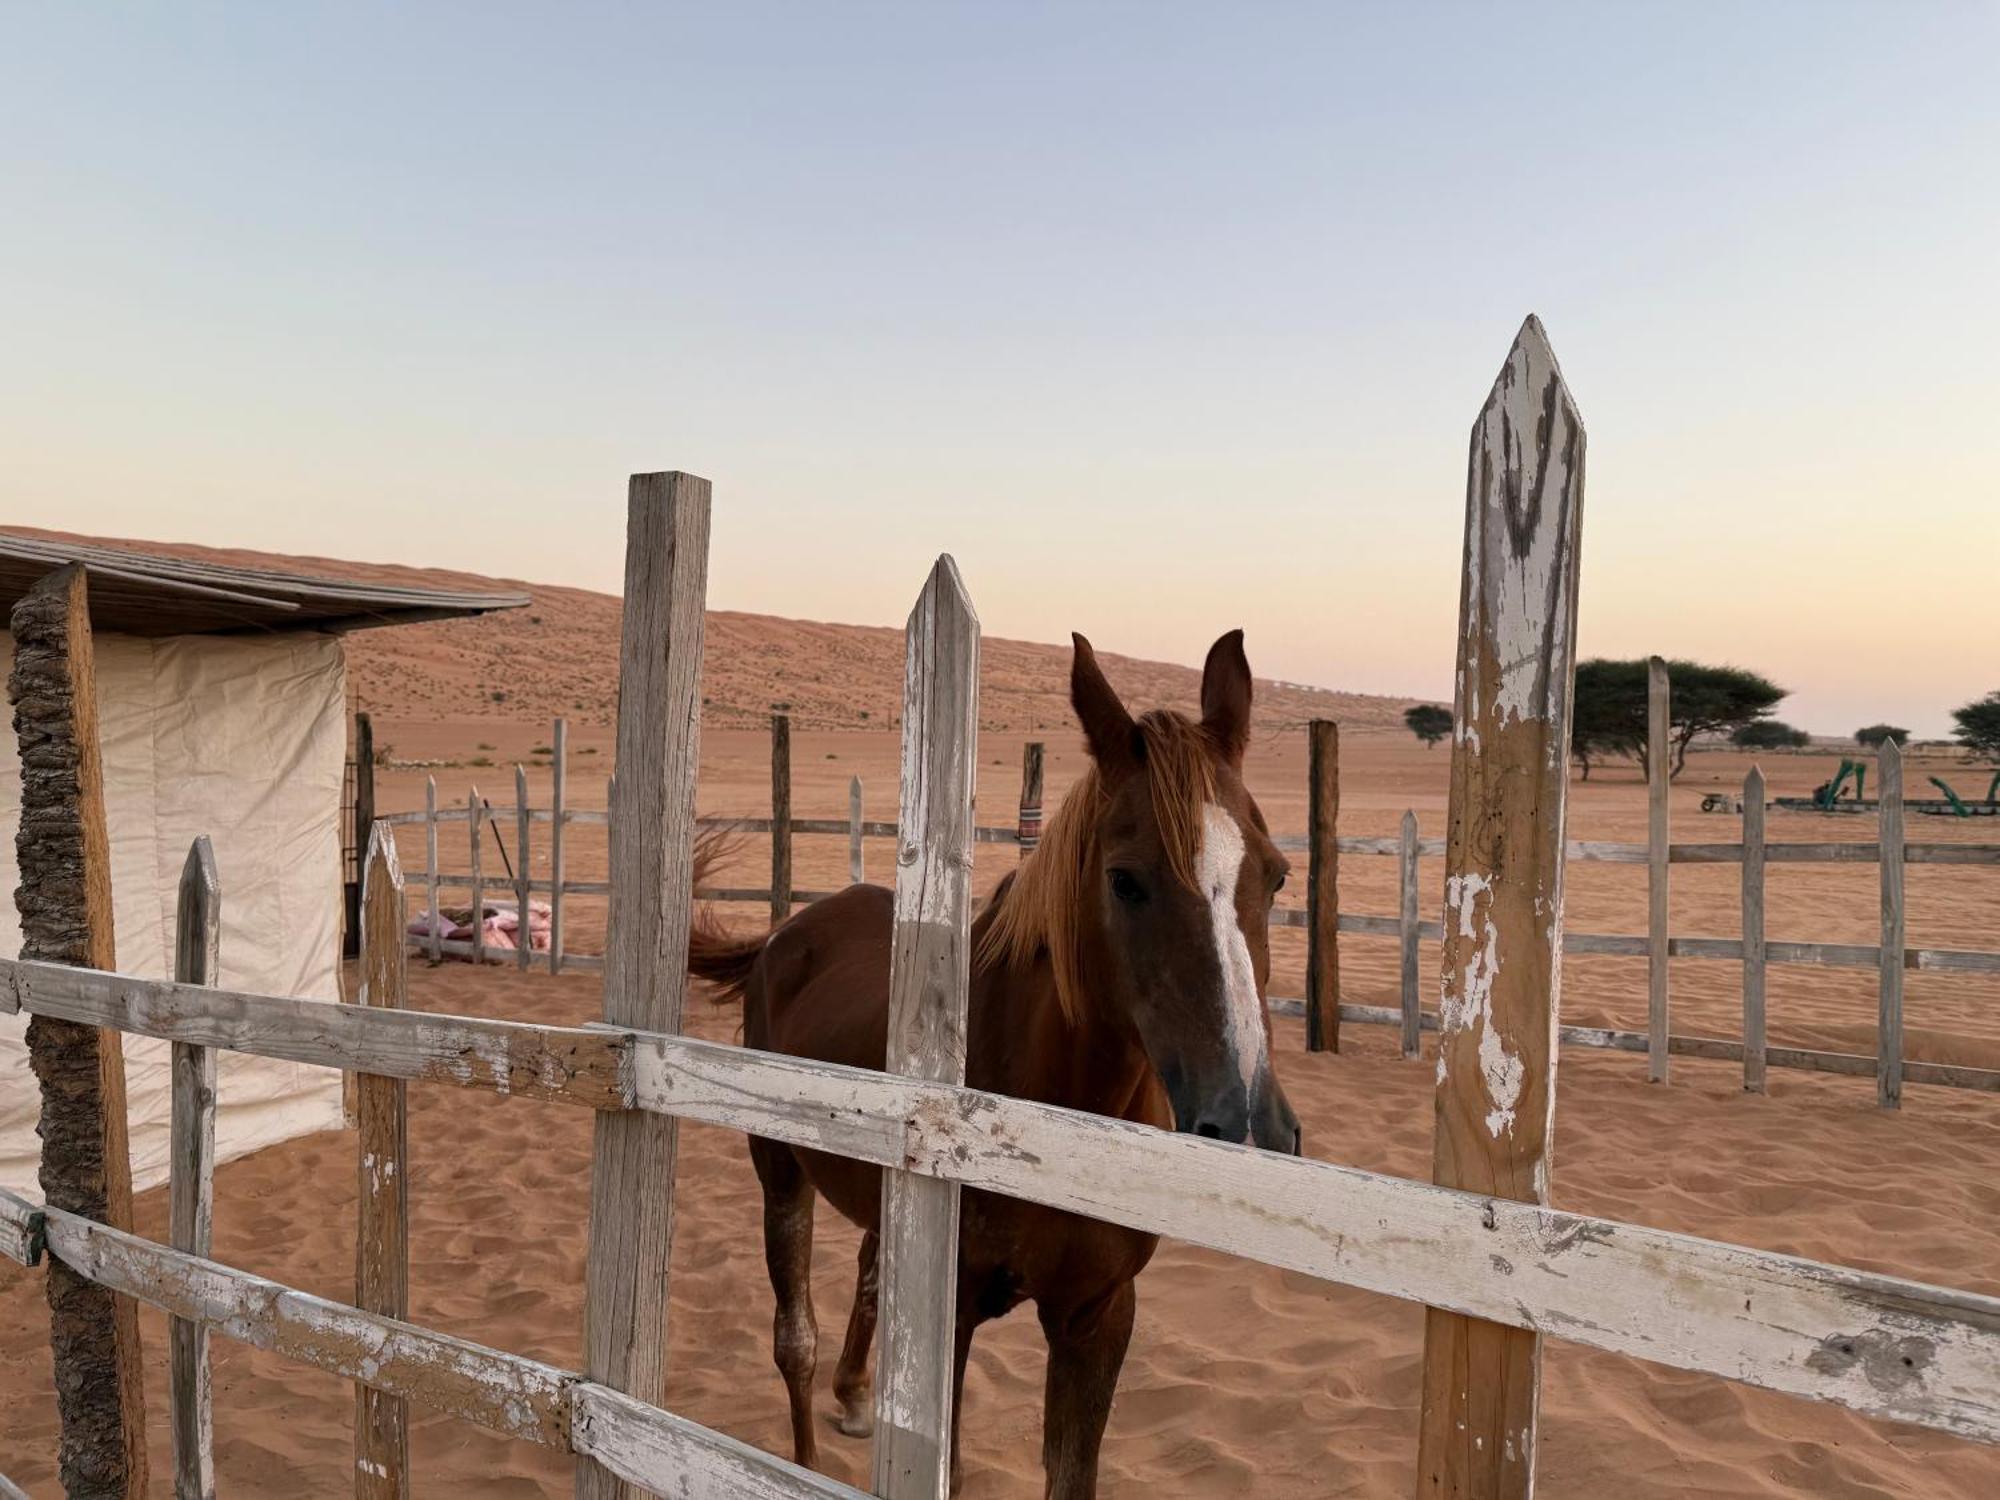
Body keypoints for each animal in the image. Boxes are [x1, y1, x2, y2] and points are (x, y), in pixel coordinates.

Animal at [688, 636, 1304, 1500]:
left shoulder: (1098, 1317)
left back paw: (855, 1395)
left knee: (868, 1273)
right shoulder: (950, 1322)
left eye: (1277, 874)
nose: (1246, 1118)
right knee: (793, 1337)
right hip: (779, 1172)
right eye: (1125, 880)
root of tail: (791, 931)